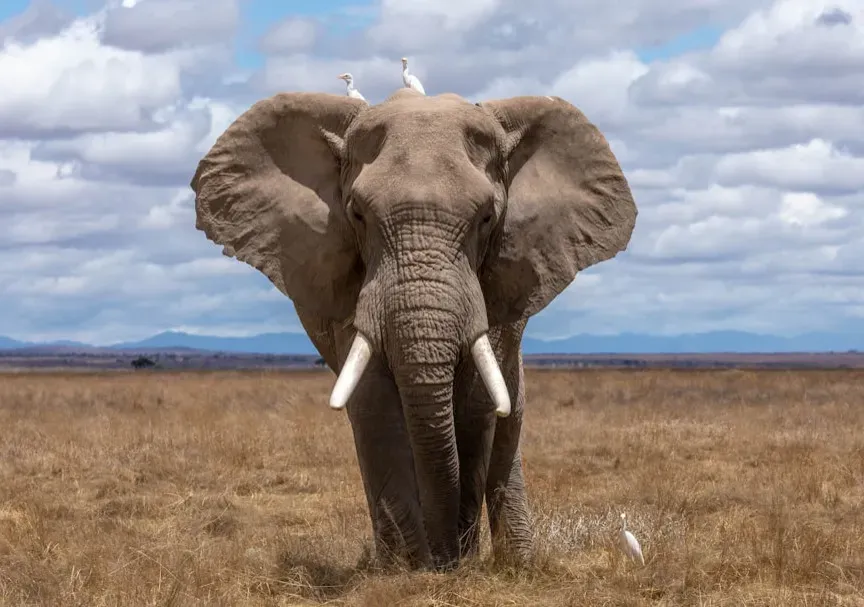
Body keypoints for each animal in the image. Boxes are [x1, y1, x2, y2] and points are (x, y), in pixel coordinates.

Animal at [189, 88, 637, 572]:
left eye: (487, 218)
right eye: (357, 215)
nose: (446, 559)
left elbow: (477, 405)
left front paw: (455, 562)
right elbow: (374, 404)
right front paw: (408, 570)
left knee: (508, 421)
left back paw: (517, 563)